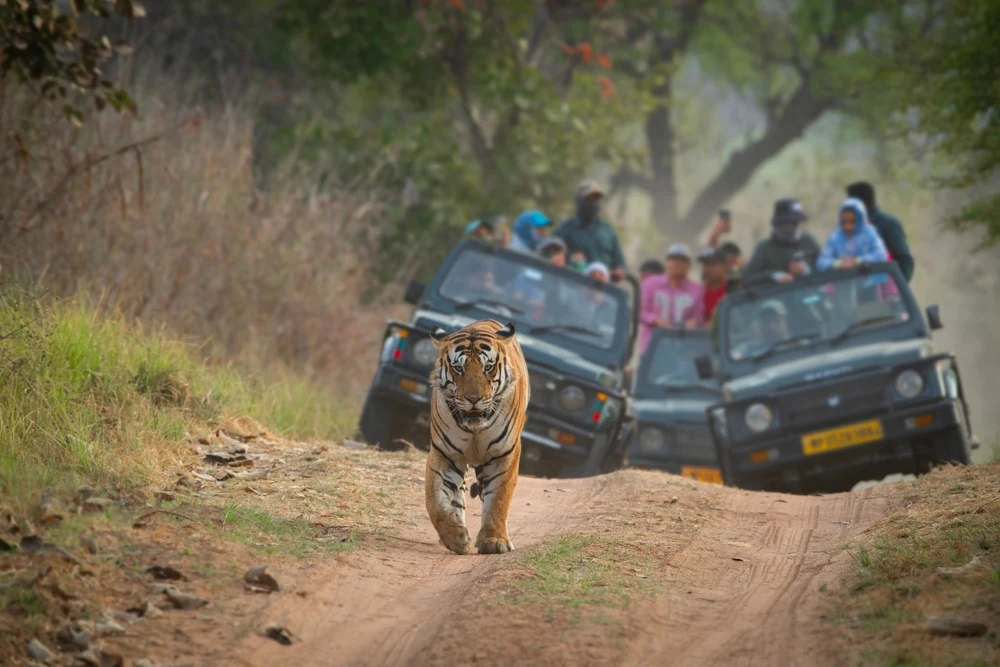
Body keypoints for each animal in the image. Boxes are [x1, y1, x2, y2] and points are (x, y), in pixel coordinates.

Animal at [425, 319, 529, 555]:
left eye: (487, 367)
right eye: (458, 368)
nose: (473, 399)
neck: (475, 428)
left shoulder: (503, 454)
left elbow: (499, 499)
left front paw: (494, 541)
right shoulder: (445, 453)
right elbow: (435, 500)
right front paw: (456, 538)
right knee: (457, 496)